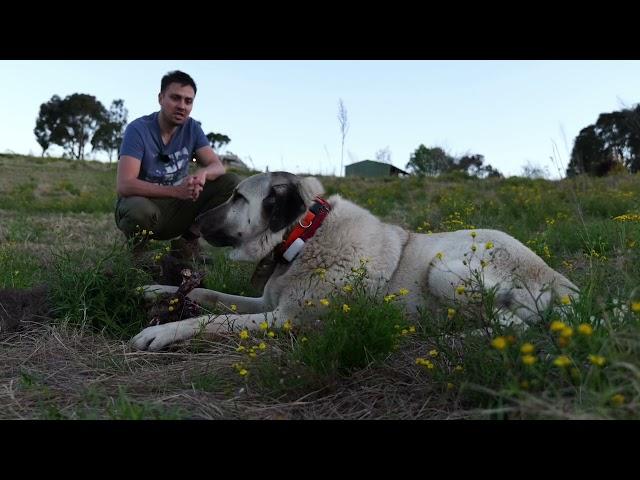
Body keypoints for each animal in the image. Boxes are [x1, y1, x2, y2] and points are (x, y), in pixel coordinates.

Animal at [129, 171, 576, 350]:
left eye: (238, 198)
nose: (195, 222)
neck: (304, 236)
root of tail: (559, 280)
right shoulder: (266, 303)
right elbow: (210, 294)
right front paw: (158, 288)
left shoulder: (283, 318)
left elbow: (213, 320)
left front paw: (161, 332)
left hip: (443, 269)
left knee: (513, 324)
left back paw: (451, 337)